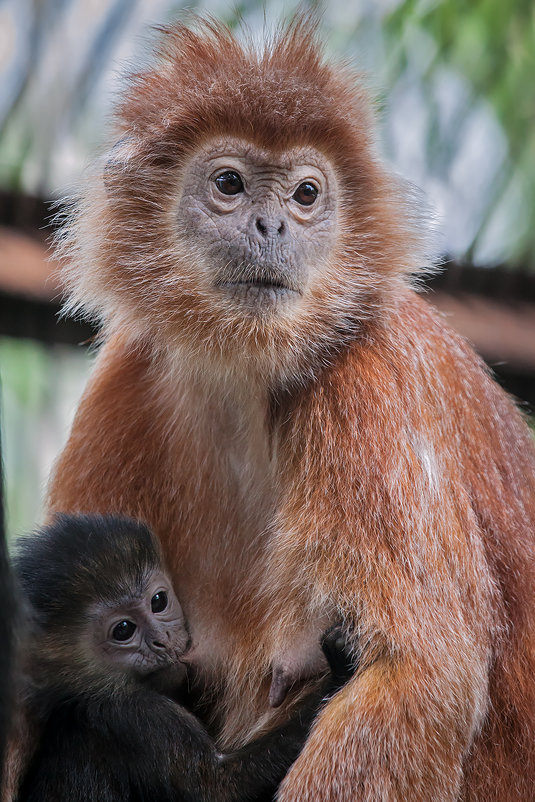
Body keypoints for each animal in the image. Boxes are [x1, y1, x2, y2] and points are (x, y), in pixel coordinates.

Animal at [11, 512, 356, 800]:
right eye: (123, 630)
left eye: (158, 601)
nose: (162, 641)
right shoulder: (131, 715)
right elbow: (217, 788)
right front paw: (339, 666)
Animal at [46, 14, 535, 800]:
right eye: (229, 183)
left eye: (306, 194)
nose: (273, 226)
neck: (251, 379)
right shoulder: (124, 383)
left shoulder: (367, 379)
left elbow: (416, 676)